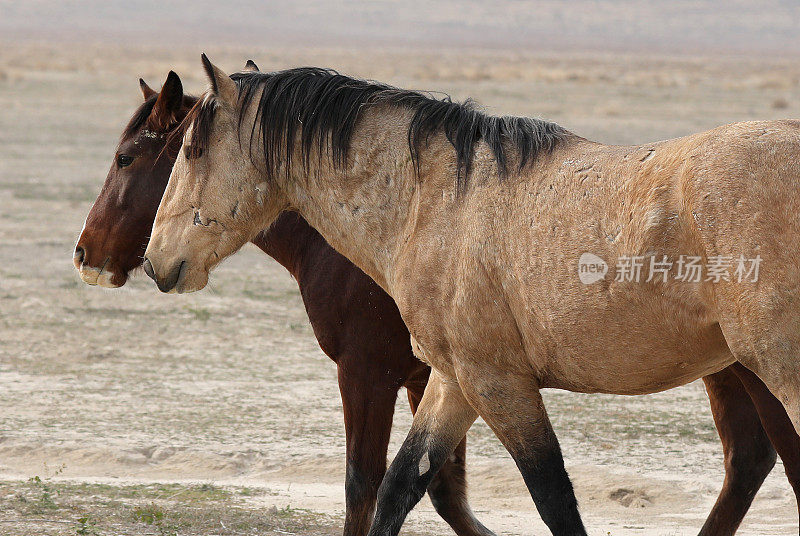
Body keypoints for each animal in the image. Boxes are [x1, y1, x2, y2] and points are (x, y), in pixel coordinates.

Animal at [72, 69, 494, 536]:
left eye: (125, 158)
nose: (84, 253)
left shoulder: (369, 376)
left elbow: (363, 488)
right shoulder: (430, 382)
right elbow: (446, 493)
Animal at [144, 56, 800, 532]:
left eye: (191, 149)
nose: (156, 261)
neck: (434, 204)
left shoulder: (497, 383)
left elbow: (554, 498)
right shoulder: (454, 381)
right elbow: (400, 486)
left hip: (776, 368)